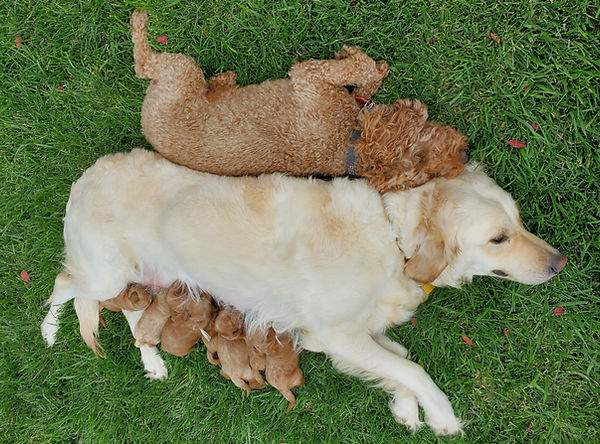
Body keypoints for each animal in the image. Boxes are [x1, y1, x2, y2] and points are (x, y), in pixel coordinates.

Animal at [39, 149, 564, 434]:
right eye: (498, 238)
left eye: (518, 220)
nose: (559, 262)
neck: (393, 238)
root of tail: (86, 176)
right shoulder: (334, 334)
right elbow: (412, 367)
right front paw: (440, 414)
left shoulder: (343, 334)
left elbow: (398, 357)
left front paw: (405, 407)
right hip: (105, 271)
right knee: (66, 284)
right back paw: (48, 330)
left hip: (144, 277)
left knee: (131, 311)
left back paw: (152, 361)